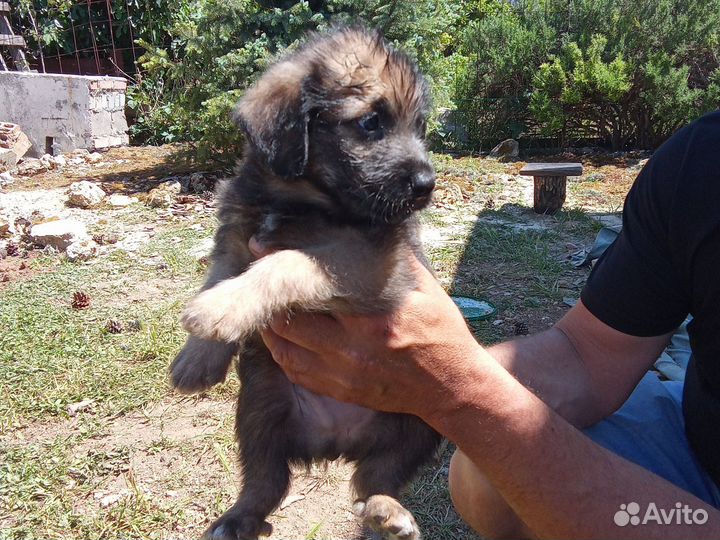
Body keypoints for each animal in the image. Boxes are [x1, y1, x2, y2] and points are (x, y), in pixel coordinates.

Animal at [174, 26, 442, 540]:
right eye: (371, 122)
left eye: (419, 126)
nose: (425, 184)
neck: (301, 198)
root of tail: (335, 441)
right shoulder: (234, 238)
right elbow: (217, 276)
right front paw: (197, 356)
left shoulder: (366, 262)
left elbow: (288, 262)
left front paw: (218, 311)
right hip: (258, 408)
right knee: (266, 480)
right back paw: (238, 519)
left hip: (420, 419)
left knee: (377, 478)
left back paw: (388, 512)